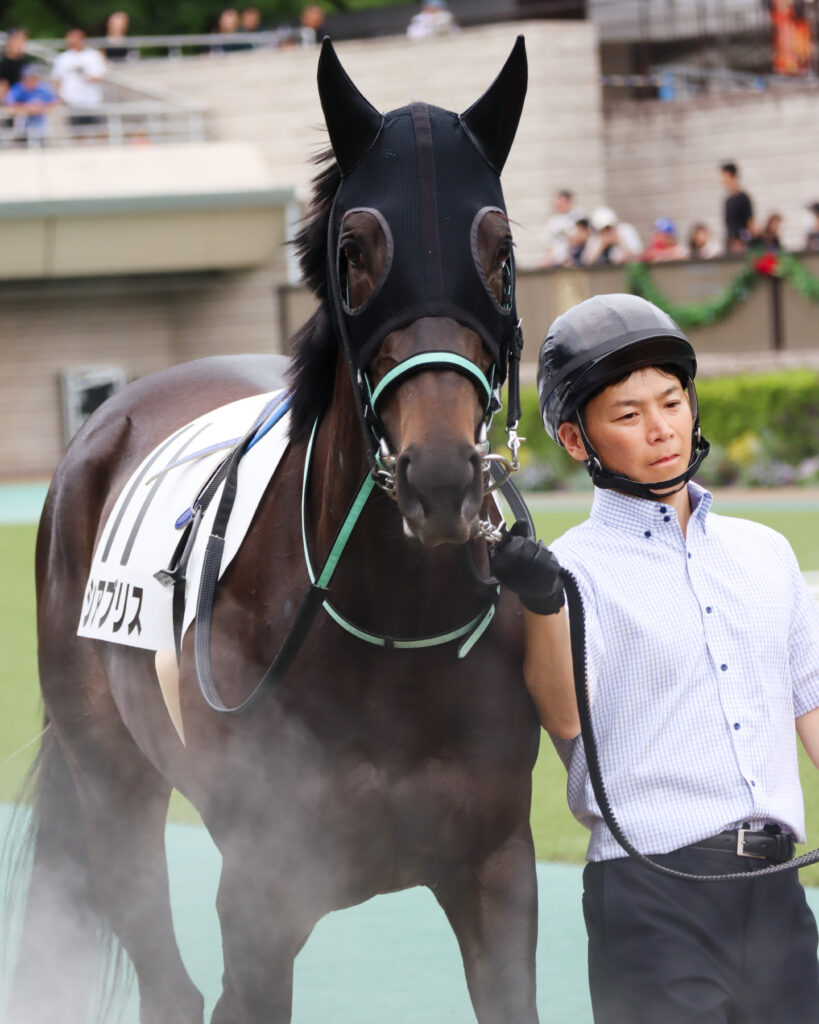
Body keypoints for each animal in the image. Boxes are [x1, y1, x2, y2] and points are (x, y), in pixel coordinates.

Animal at [5, 38, 541, 1024]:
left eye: (501, 250)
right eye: (354, 250)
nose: (440, 476)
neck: (388, 635)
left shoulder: (494, 871)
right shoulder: (261, 896)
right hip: (113, 786)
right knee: (167, 981)